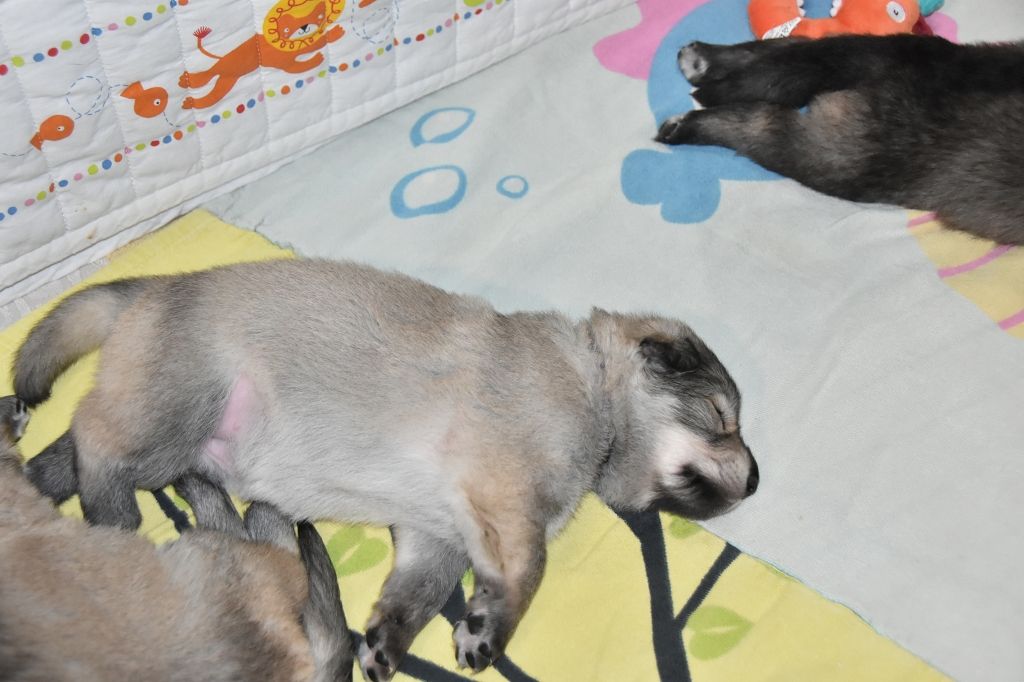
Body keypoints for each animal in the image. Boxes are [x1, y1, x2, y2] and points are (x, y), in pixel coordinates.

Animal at [656, 35, 1024, 245]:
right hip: (848, 155)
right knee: (763, 124)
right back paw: (683, 126)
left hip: (879, 48)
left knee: (788, 48)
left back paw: (702, 60)